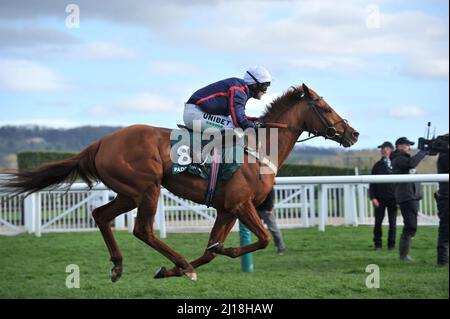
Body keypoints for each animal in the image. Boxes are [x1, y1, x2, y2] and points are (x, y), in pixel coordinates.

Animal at [0, 84, 358, 282]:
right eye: (325, 107)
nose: (352, 133)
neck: (258, 148)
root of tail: (100, 143)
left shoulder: (227, 209)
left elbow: (211, 250)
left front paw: (180, 266)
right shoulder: (241, 204)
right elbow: (264, 239)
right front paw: (208, 258)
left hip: (128, 193)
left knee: (101, 215)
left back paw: (120, 267)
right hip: (148, 188)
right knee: (142, 230)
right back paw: (181, 264)